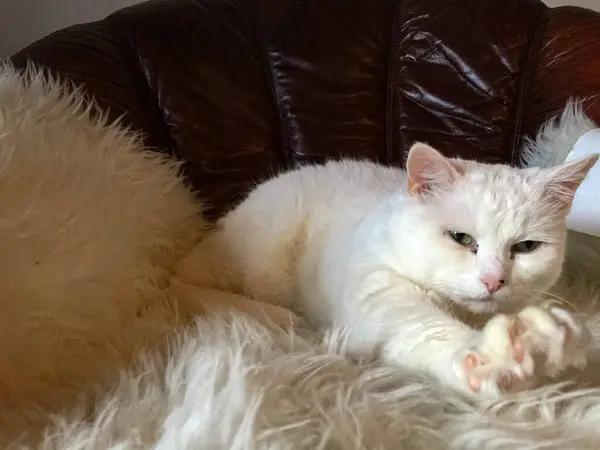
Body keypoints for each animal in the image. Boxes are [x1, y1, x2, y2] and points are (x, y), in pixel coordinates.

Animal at [176, 143, 596, 398]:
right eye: (461, 238)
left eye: (526, 247)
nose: (494, 281)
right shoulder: (377, 290)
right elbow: (425, 327)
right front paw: (491, 357)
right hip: (258, 262)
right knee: (186, 285)